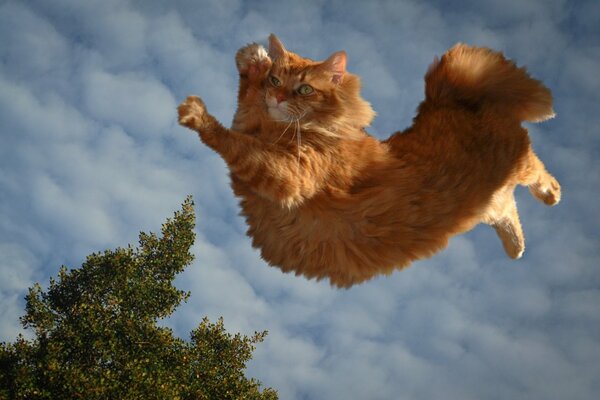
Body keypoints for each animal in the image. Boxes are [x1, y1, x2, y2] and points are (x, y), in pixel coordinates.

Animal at [176, 33, 560, 284]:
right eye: (276, 81)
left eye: (304, 89)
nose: (279, 97)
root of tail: (444, 99)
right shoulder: (257, 141)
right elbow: (244, 107)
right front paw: (252, 60)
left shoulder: (290, 175)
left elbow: (232, 140)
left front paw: (198, 114)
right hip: (492, 202)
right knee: (509, 212)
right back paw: (516, 248)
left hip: (518, 163)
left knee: (538, 172)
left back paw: (552, 195)